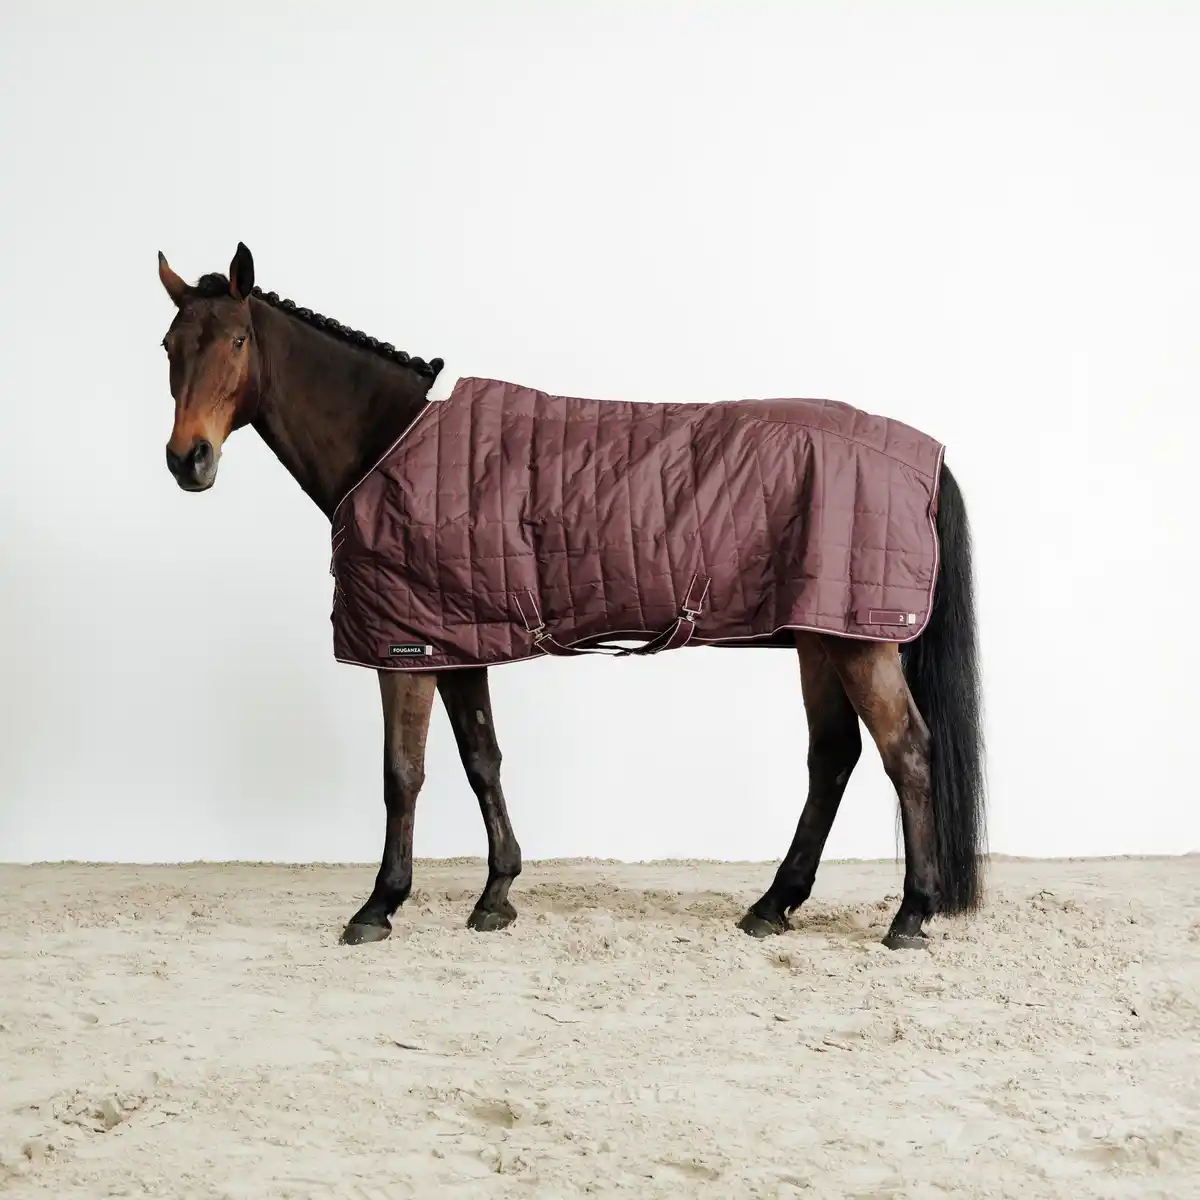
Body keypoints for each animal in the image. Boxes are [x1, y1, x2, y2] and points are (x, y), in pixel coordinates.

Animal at [156, 241, 985, 951]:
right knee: (833, 757)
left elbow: (402, 775)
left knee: (906, 754)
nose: (187, 460)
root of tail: (925, 457)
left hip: (860, 642)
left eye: (236, 340)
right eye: (170, 346)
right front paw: (496, 895)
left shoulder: (405, 647)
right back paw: (773, 904)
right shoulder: (455, 640)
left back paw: (910, 915)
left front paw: (380, 905)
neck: (391, 442)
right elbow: (481, 759)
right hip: (822, 637)